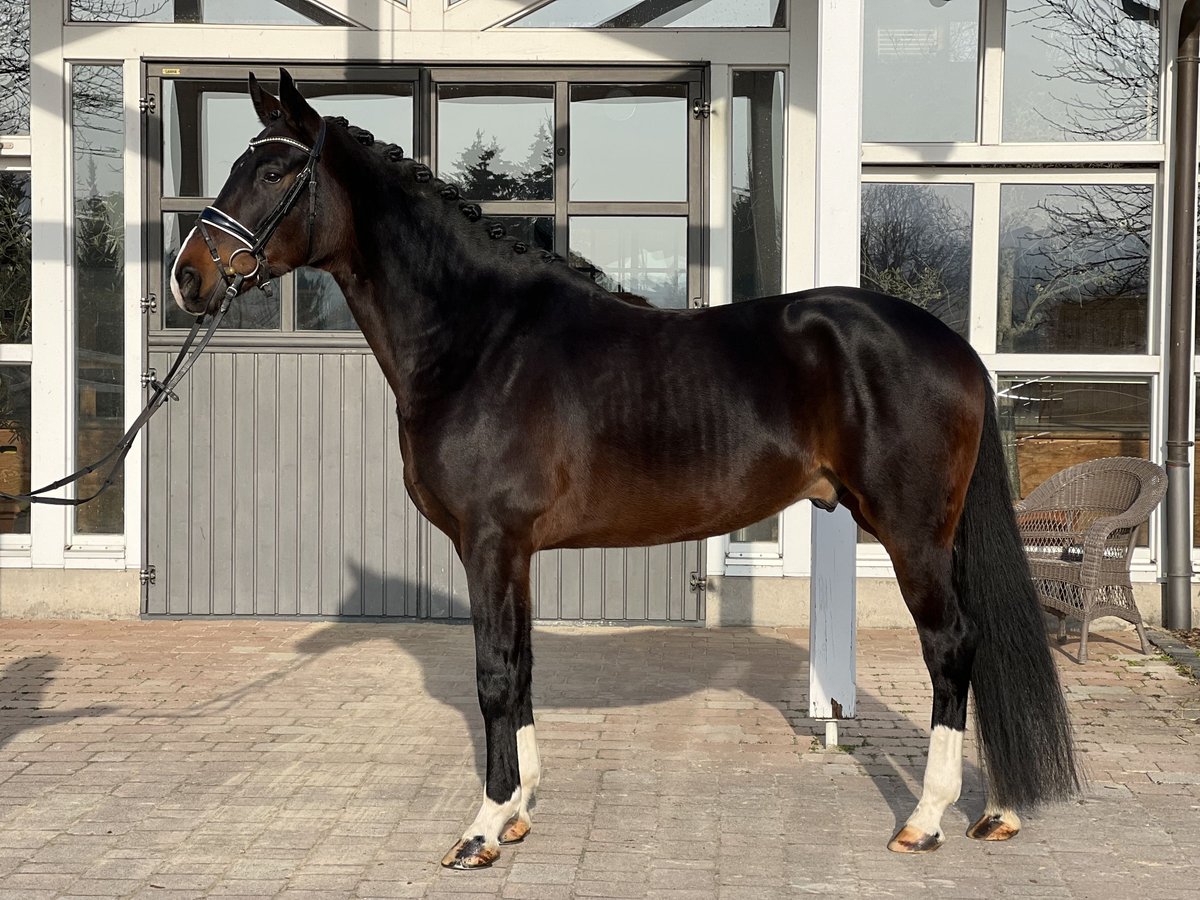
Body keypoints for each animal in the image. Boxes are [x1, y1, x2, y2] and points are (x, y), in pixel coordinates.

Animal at [174, 74, 1084, 868]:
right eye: (238, 163)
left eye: (275, 170)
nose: (189, 277)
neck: (480, 338)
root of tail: (955, 346)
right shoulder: (514, 552)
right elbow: (522, 666)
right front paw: (519, 810)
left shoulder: (489, 542)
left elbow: (494, 675)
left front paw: (481, 828)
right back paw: (997, 809)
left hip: (910, 533)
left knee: (952, 646)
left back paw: (925, 819)